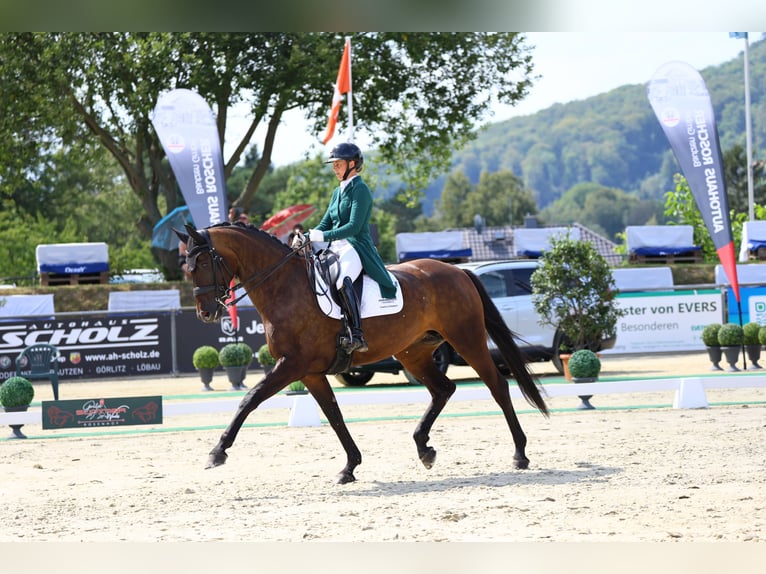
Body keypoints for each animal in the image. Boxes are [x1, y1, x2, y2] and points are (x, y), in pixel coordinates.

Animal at [177, 223, 548, 484]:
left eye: (204, 262)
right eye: (187, 267)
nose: (205, 313)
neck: (285, 287)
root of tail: (459, 270)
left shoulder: (292, 365)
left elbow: (249, 399)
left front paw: (217, 452)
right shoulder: (310, 372)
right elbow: (334, 416)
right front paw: (350, 467)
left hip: (466, 338)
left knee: (497, 385)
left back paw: (519, 453)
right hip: (414, 351)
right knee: (444, 389)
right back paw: (424, 448)